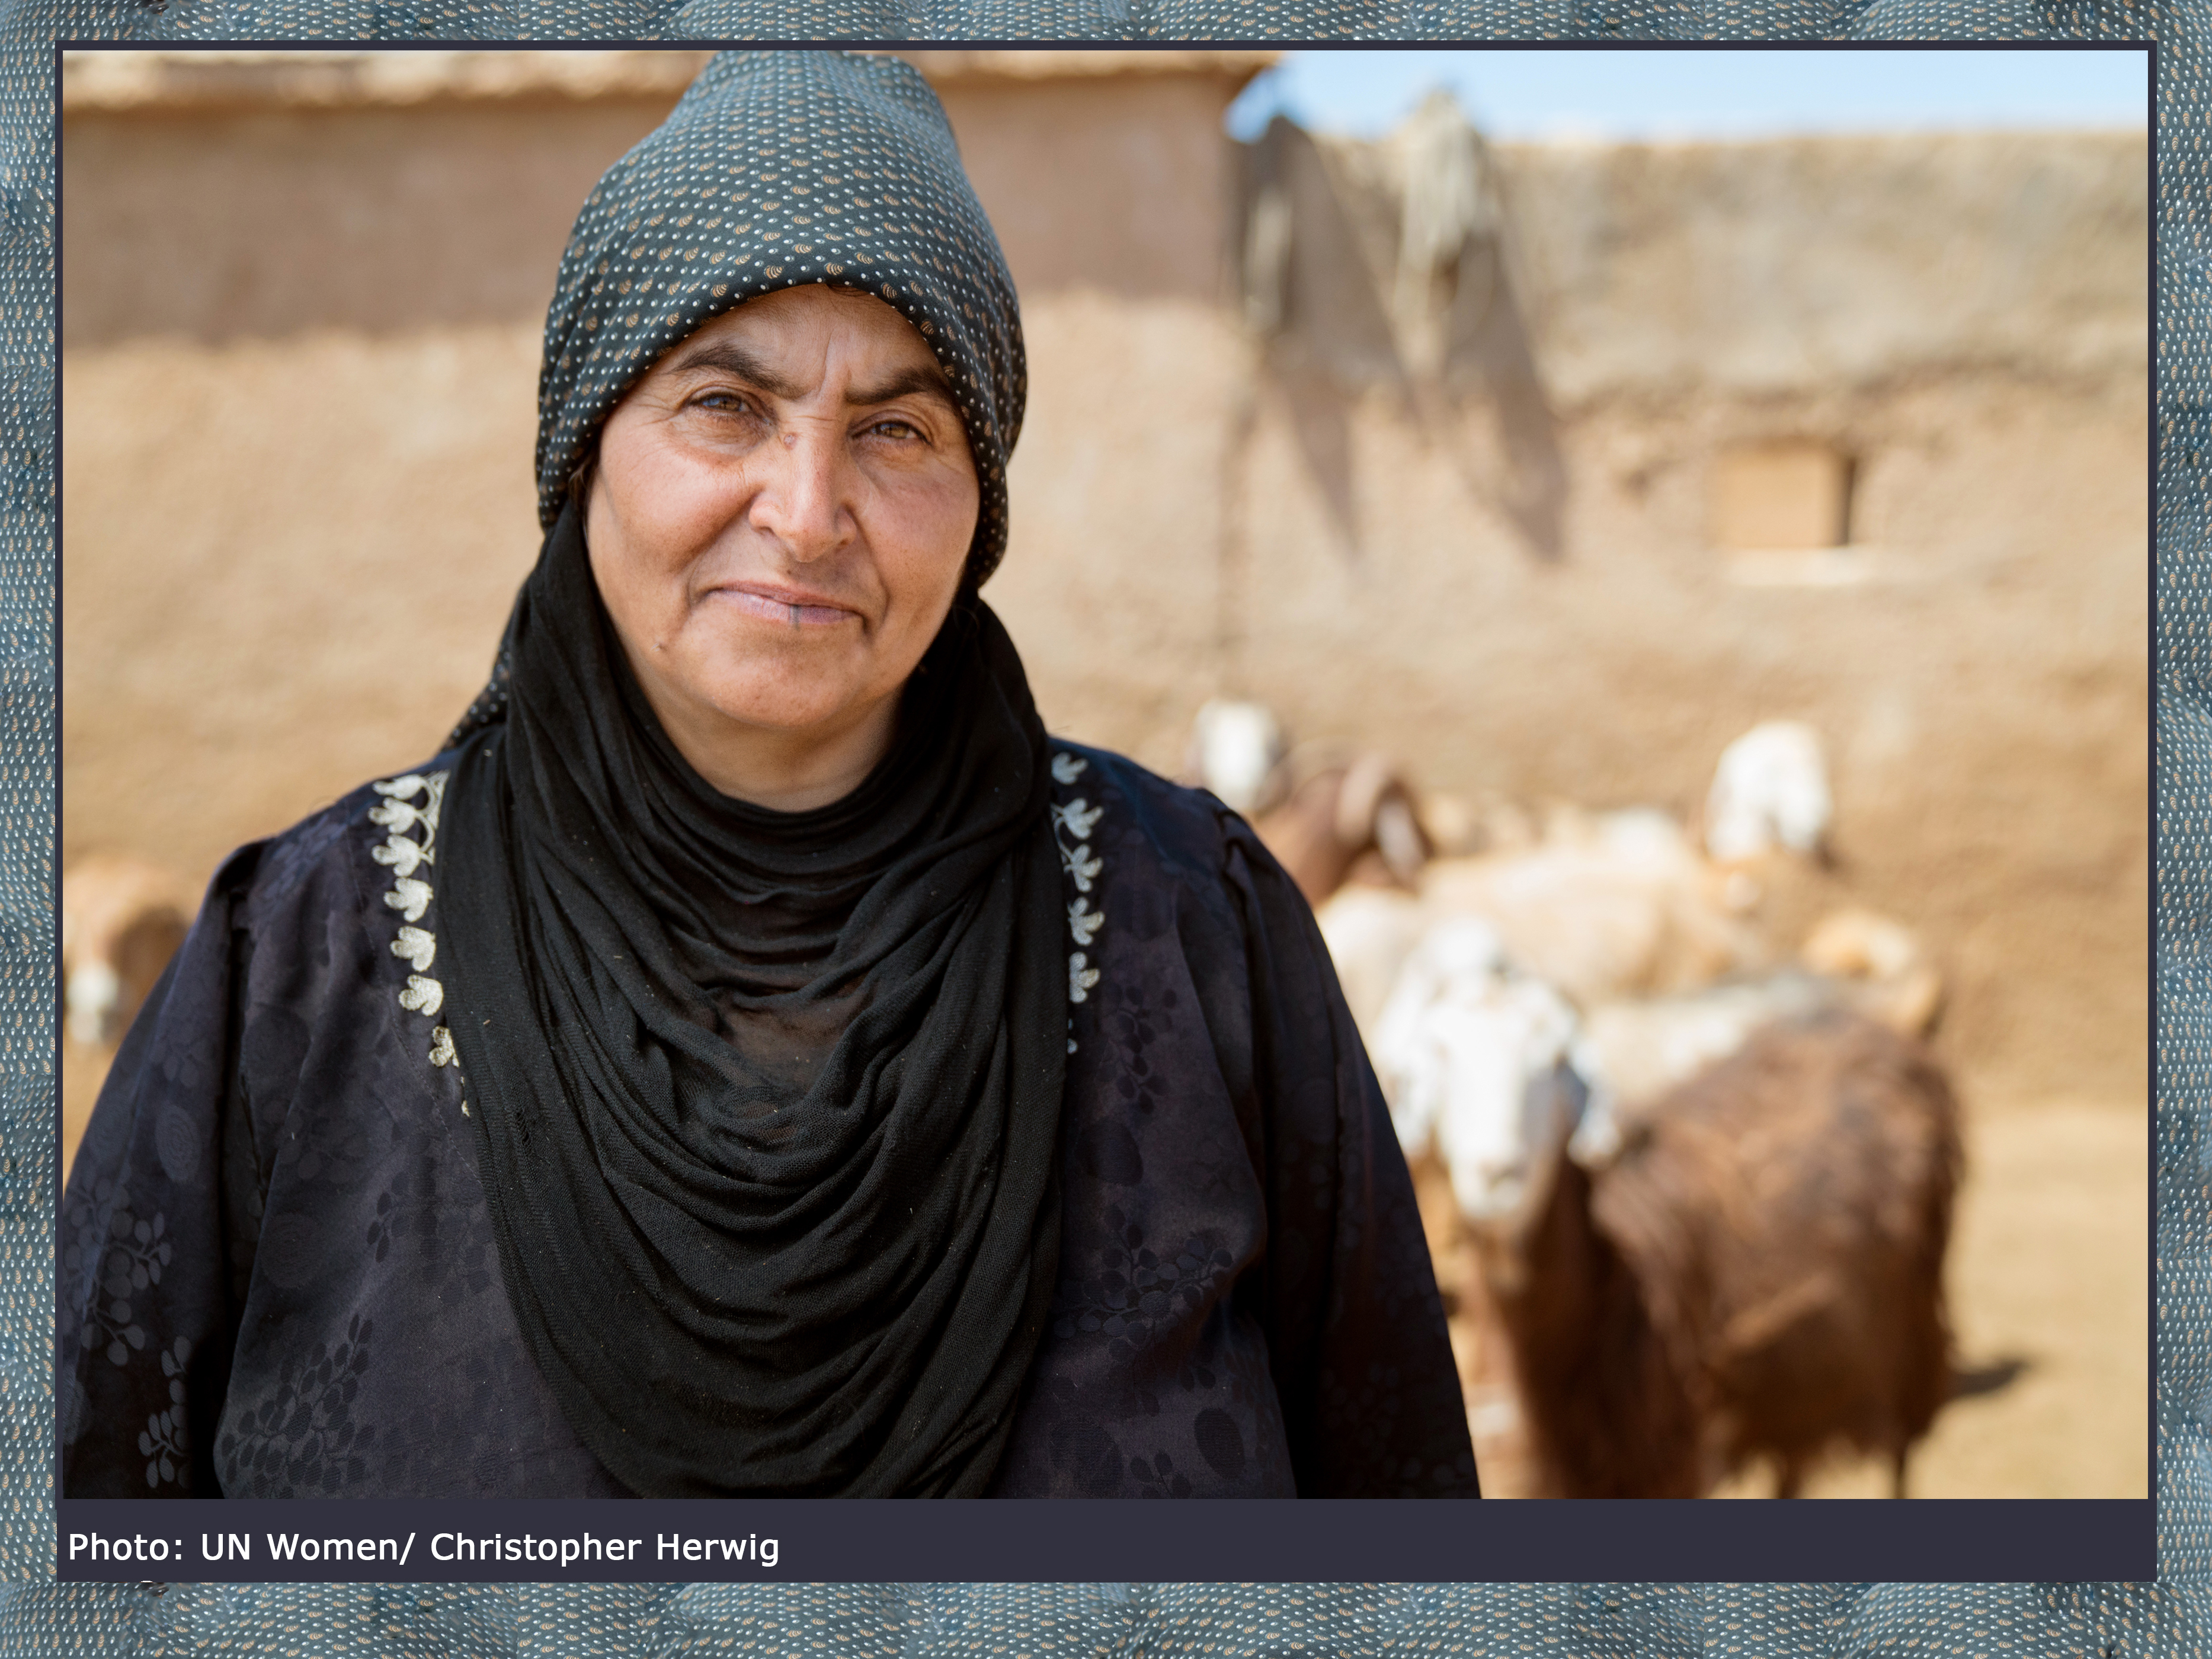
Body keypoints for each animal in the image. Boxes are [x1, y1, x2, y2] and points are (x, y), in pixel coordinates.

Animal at [1477, 1013, 1964, 1504]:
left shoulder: (1678, 1457)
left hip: (1911, 1339)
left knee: (1900, 1455)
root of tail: (1869, 1029)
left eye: (1555, 1063)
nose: (1495, 1175)